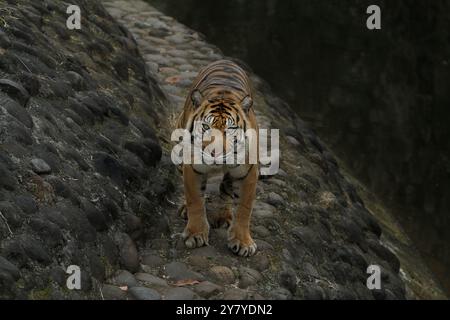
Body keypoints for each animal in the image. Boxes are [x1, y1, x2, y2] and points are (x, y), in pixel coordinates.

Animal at [177, 58, 260, 256]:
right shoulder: (192, 167)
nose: (216, 153)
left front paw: (243, 241)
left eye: (230, 129)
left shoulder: (249, 173)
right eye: (206, 126)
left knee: (226, 189)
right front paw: (196, 234)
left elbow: (245, 208)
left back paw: (223, 216)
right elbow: (195, 200)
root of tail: (226, 60)